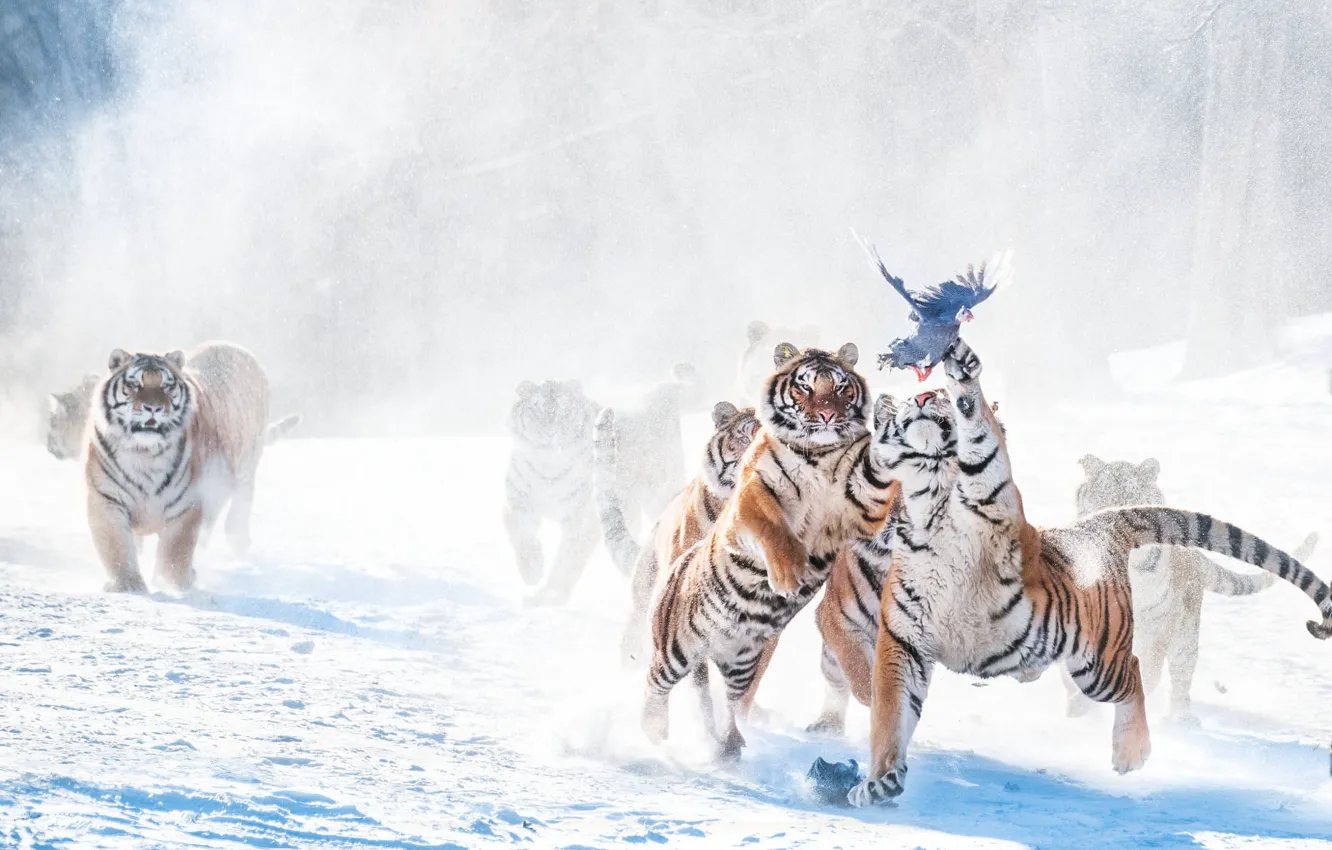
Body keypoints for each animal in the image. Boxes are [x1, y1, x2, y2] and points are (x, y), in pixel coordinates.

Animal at [86, 342, 277, 593]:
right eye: (135, 384)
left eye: (166, 386)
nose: (153, 408)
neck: (144, 453)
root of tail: (231, 346)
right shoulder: (107, 498)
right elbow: (116, 546)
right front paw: (128, 585)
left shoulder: (188, 502)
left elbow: (176, 551)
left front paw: (173, 585)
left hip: (245, 468)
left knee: (237, 511)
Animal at [504, 378, 603, 606]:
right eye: (536, 408)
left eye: (564, 409)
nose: (549, 431)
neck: (549, 467)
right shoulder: (520, 499)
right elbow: (522, 534)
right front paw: (532, 571)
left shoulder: (580, 515)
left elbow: (567, 556)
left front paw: (551, 592)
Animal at [1065, 454, 1319, 721]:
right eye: (1103, 496)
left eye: (1132, 496)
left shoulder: (1156, 626)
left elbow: (1146, 670)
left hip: (1184, 635)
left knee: (1180, 677)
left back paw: (1181, 720)